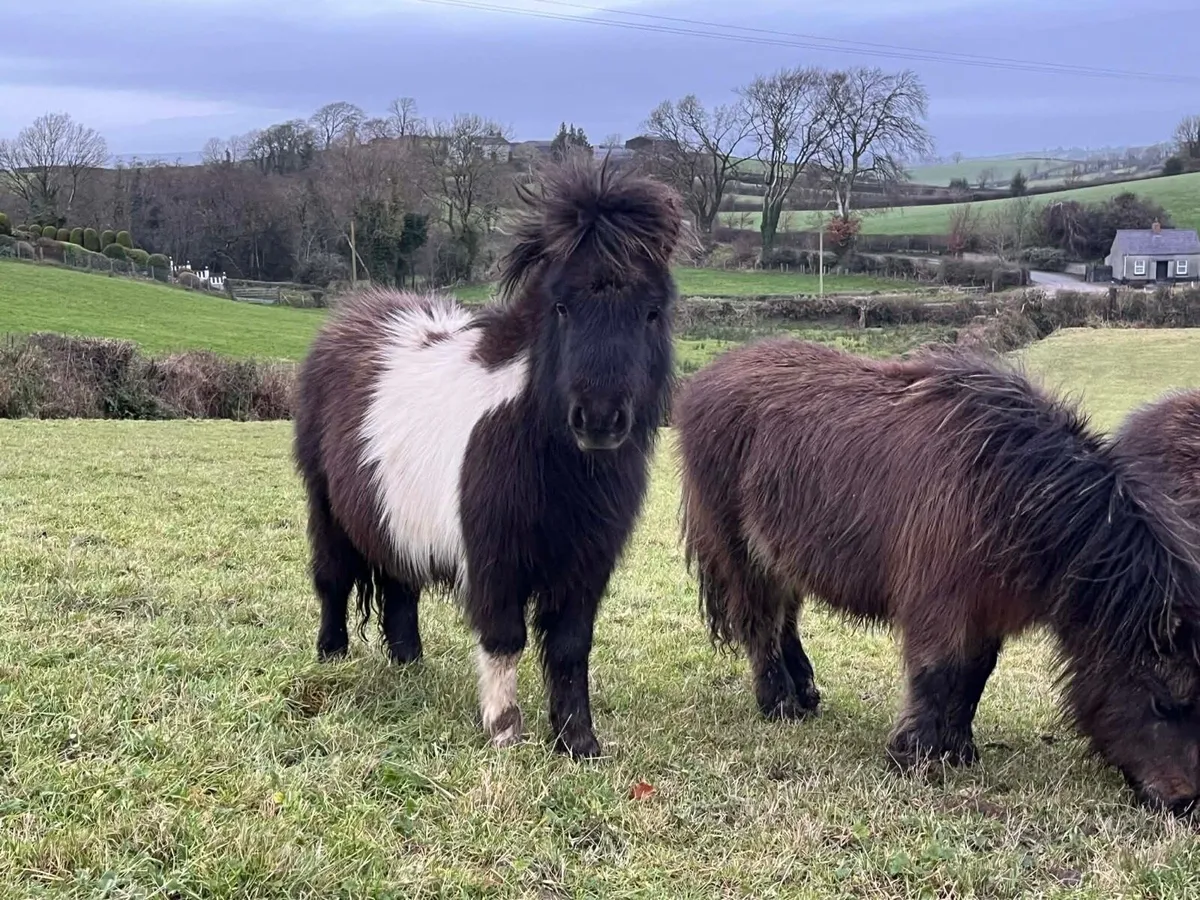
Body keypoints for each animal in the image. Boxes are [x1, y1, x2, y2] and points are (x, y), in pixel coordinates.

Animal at [292, 156, 683, 758]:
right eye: (562, 306)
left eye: (652, 312)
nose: (598, 419)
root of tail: (350, 316)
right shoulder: (495, 559)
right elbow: (504, 638)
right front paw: (504, 731)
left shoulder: (586, 564)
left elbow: (570, 647)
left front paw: (578, 741)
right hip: (326, 508)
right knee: (332, 578)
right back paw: (332, 656)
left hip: (390, 511)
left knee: (400, 583)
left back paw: (409, 663)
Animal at [672, 337, 1200, 814]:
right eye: (1163, 702)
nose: (1186, 804)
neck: (1006, 488)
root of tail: (707, 379)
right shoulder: (939, 603)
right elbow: (937, 671)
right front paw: (916, 755)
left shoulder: (987, 609)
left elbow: (975, 675)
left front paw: (960, 749)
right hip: (741, 553)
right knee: (759, 623)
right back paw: (779, 705)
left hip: (784, 556)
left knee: (785, 619)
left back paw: (805, 694)